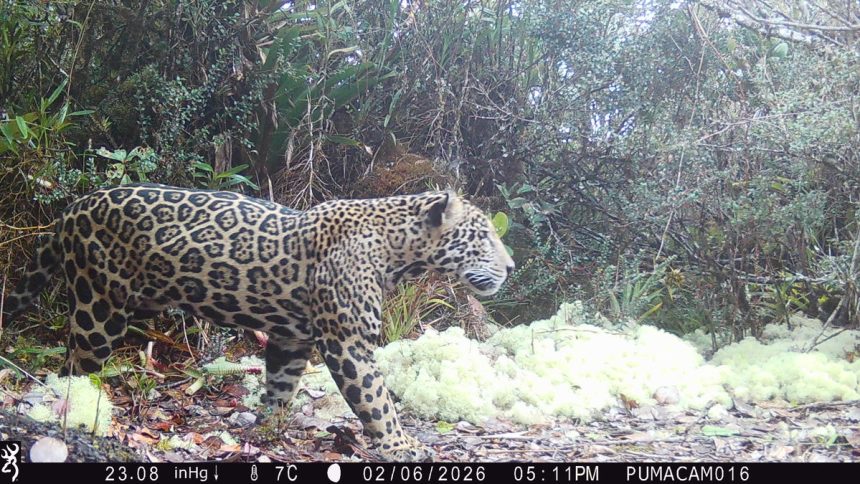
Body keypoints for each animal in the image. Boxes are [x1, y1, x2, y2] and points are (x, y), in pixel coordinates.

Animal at [2, 184, 515, 461]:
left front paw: (269, 428)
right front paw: (401, 444)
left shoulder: (292, 338)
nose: (511, 267)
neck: (398, 252)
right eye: (484, 236)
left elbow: (281, 385)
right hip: (100, 307)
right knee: (76, 365)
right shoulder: (347, 341)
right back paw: (79, 409)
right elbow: (377, 400)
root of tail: (71, 209)